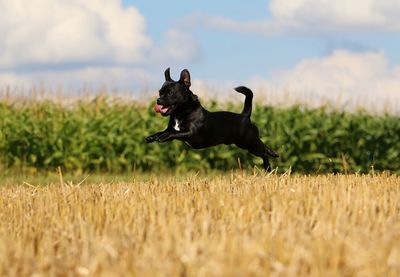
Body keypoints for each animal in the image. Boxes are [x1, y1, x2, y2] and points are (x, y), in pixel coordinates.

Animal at [145, 67, 280, 170]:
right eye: (160, 92)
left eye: (170, 93)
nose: (158, 100)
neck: (181, 112)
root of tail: (245, 115)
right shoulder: (170, 128)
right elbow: (165, 131)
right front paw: (152, 137)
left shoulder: (190, 132)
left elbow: (173, 133)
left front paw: (162, 137)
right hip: (244, 143)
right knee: (263, 145)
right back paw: (273, 153)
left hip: (250, 143)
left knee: (263, 151)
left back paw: (268, 166)